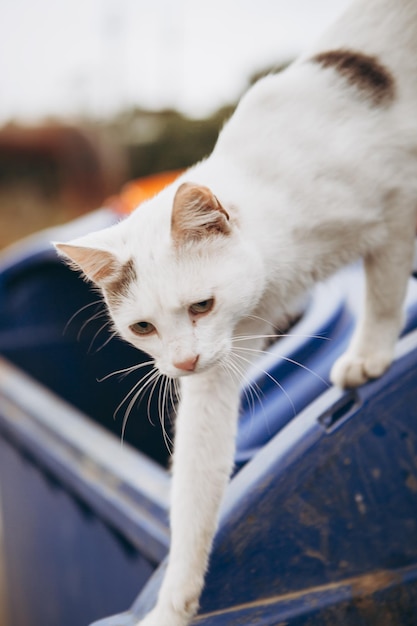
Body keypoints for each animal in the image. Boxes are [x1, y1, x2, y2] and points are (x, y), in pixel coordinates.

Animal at [56, 2, 416, 620]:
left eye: (202, 304)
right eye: (143, 327)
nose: (183, 363)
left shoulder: (397, 209)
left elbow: (386, 288)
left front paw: (369, 355)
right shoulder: (216, 374)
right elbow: (197, 485)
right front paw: (173, 604)